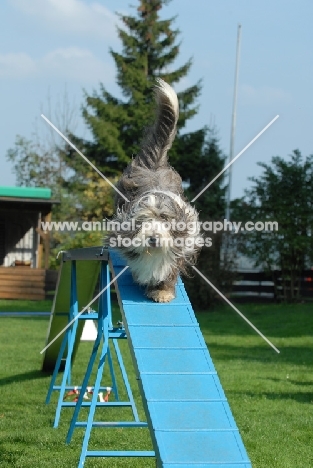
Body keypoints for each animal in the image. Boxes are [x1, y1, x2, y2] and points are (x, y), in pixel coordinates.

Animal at [107, 78, 200, 302]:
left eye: (165, 220)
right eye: (144, 220)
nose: (153, 238)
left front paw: (162, 291)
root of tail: (155, 164)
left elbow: (169, 269)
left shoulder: (181, 249)